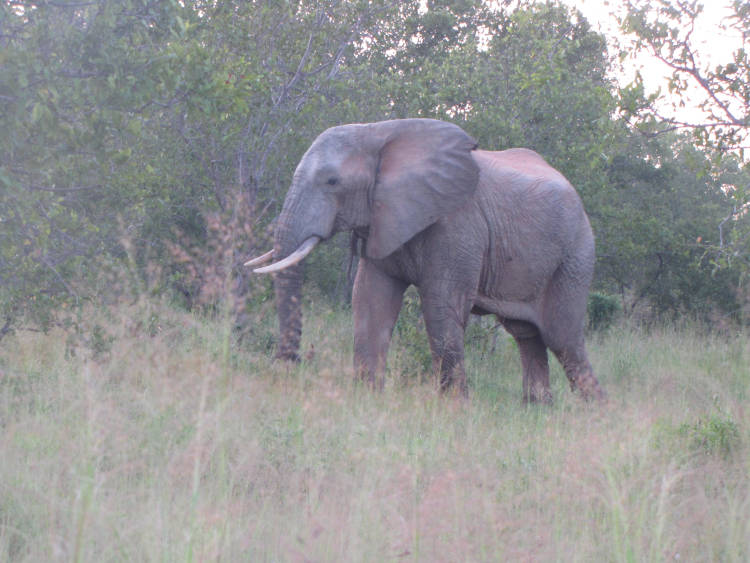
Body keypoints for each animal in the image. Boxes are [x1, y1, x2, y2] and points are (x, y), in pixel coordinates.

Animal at [250, 117, 608, 404]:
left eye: (332, 182)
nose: (290, 363)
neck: (378, 133)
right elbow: (370, 302)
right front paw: (367, 399)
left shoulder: (457, 224)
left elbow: (439, 306)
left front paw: (455, 408)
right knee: (527, 335)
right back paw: (538, 409)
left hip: (575, 255)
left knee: (562, 338)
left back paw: (596, 414)